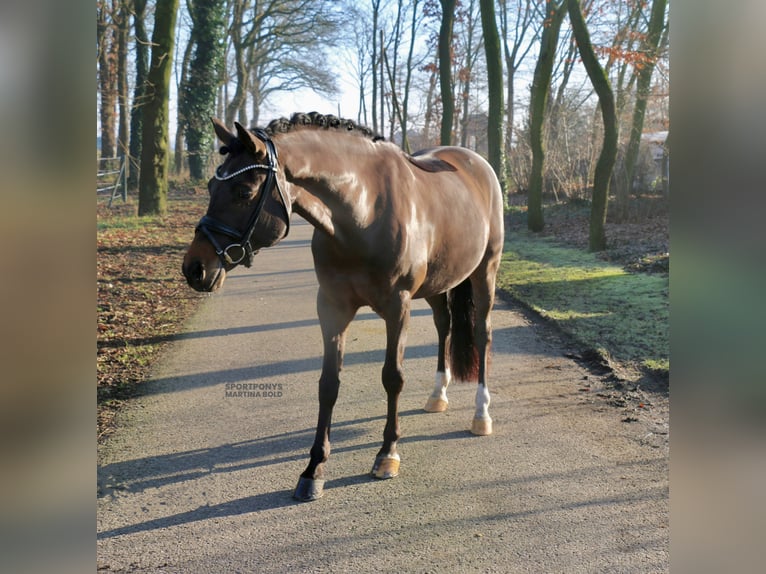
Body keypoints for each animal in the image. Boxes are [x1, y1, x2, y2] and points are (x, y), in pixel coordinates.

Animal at [179, 113, 504, 504]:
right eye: (212, 185)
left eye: (243, 191)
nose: (194, 268)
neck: (364, 213)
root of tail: (476, 163)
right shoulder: (332, 307)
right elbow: (328, 383)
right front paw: (313, 471)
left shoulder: (397, 308)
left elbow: (392, 377)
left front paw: (387, 455)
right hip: (439, 285)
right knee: (445, 325)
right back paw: (437, 395)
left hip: (485, 271)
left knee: (482, 334)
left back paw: (481, 414)